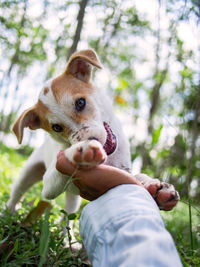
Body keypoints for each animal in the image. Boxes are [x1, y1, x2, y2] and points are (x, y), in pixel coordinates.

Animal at [7, 50, 180, 218]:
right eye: (56, 127)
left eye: (80, 103)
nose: (90, 139)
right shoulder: (49, 186)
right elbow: (58, 166)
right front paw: (80, 150)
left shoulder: (124, 170)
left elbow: (138, 177)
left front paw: (157, 187)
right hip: (29, 171)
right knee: (18, 191)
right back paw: (9, 211)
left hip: (72, 200)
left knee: (67, 216)